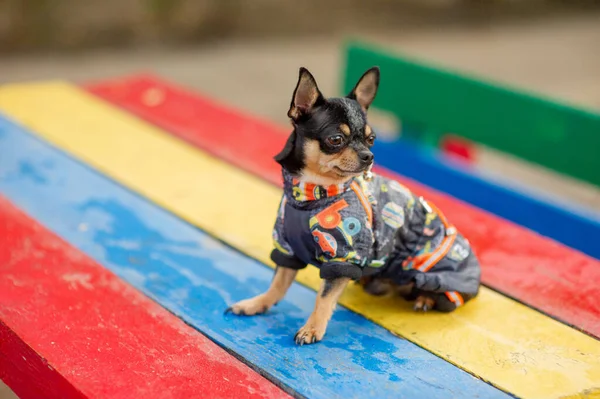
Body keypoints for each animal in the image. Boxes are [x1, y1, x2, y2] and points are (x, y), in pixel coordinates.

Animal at [225, 67, 482, 346]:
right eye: (336, 139)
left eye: (371, 139)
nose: (369, 156)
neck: (312, 196)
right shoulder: (286, 248)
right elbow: (278, 284)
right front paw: (256, 304)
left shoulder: (342, 257)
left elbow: (324, 299)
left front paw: (312, 329)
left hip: (431, 269)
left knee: (451, 296)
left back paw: (425, 298)